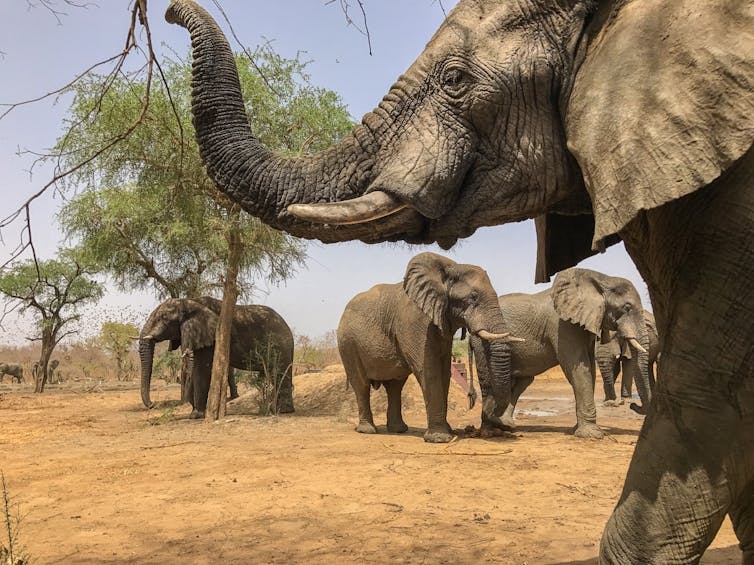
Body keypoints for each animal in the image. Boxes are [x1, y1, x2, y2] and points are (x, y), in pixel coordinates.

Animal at [139, 296, 294, 418]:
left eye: (163, 318)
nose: (152, 405)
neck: (189, 301)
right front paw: (194, 413)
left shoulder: (212, 337)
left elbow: (202, 369)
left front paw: (196, 415)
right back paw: (274, 410)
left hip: (281, 345)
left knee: (280, 372)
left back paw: (283, 411)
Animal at [338, 252, 517, 443]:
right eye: (473, 297)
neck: (451, 267)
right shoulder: (415, 321)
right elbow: (429, 369)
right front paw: (440, 438)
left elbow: (444, 371)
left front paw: (448, 431)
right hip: (348, 344)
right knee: (362, 384)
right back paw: (368, 430)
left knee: (395, 386)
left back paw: (399, 429)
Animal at [470, 268, 651, 440]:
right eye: (627, 307)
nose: (632, 405)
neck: (601, 278)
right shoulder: (562, 325)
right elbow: (578, 367)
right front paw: (593, 435)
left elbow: (590, 369)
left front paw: (577, 430)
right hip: (483, 343)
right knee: (490, 381)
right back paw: (491, 432)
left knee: (520, 381)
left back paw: (505, 425)